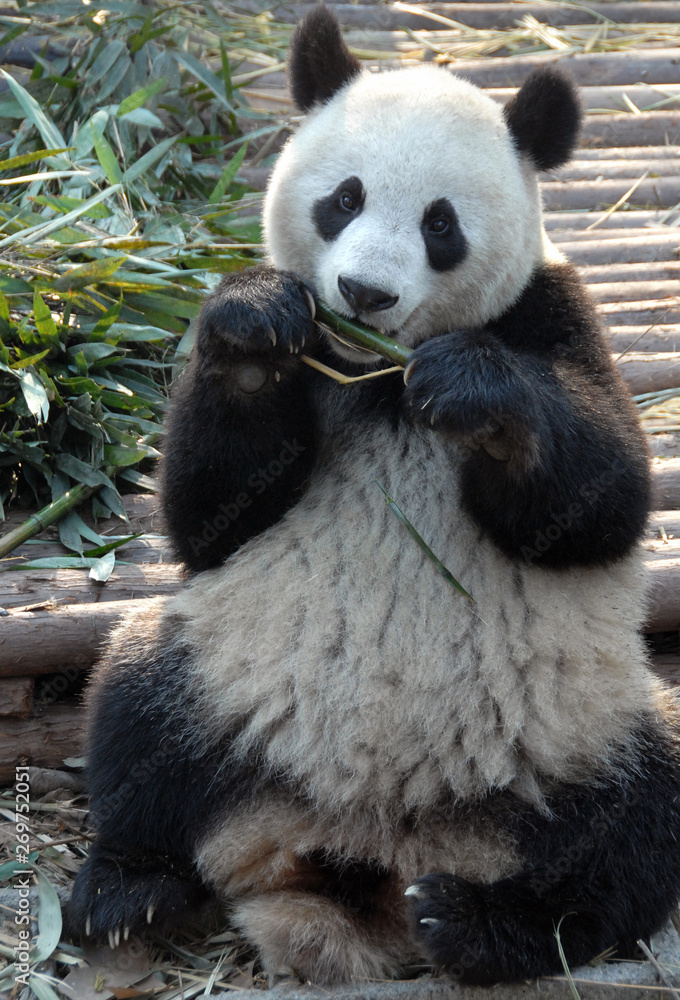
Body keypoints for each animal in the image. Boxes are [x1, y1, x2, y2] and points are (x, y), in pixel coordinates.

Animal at [70, 5, 680, 987]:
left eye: (441, 223)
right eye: (344, 199)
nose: (364, 293)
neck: (377, 374)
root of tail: (364, 849)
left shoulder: (552, 312)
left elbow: (604, 502)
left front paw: (475, 392)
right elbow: (207, 519)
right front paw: (254, 326)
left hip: (578, 726)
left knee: (633, 829)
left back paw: (483, 923)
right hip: (225, 665)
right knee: (135, 713)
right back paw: (132, 887)